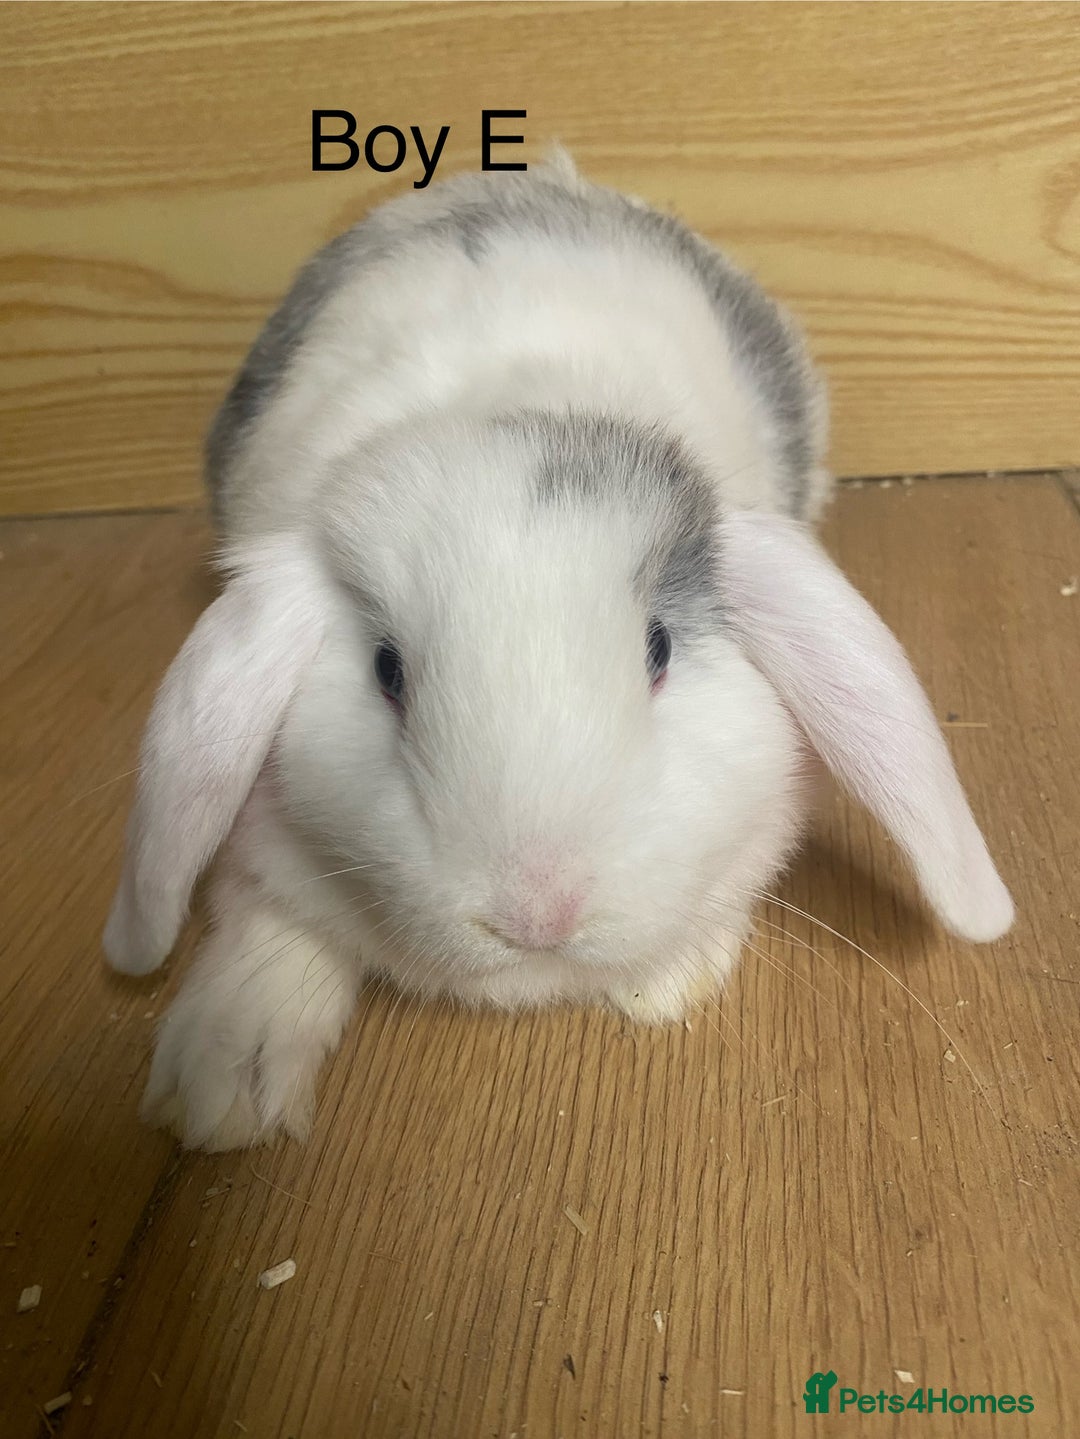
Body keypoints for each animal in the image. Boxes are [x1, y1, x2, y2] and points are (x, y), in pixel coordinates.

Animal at [103, 151, 1013, 1151]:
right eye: (387, 672)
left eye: (658, 649)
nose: (537, 915)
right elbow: (274, 919)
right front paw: (222, 1084)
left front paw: (669, 983)